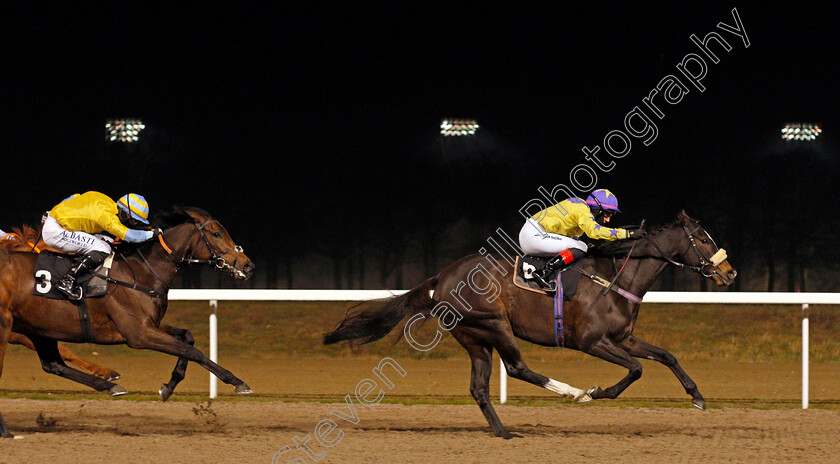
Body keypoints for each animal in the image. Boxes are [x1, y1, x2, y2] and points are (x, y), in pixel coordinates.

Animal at [324, 211, 740, 438]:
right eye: (703, 238)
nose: (730, 273)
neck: (616, 276)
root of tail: (441, 277)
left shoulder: (624, 337)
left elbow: (666, 356)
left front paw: (698, 397)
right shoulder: (591, 340)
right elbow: (636, 369)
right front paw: (597, 391)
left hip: (474, 337)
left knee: (480, 387)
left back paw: (504, 432)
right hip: (493, 324)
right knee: (517, 367)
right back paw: (573, 391)